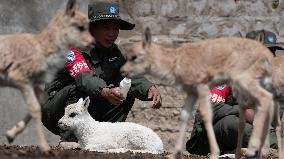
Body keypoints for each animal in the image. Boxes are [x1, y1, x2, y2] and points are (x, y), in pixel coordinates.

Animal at [0, 0, 93, 152]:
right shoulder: (21, 79)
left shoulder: (33, 83)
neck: (41, 48)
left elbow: (42, 100)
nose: (93, 43)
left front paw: (10, 135)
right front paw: (45, 147)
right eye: (80, 26)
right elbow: (34, 108)